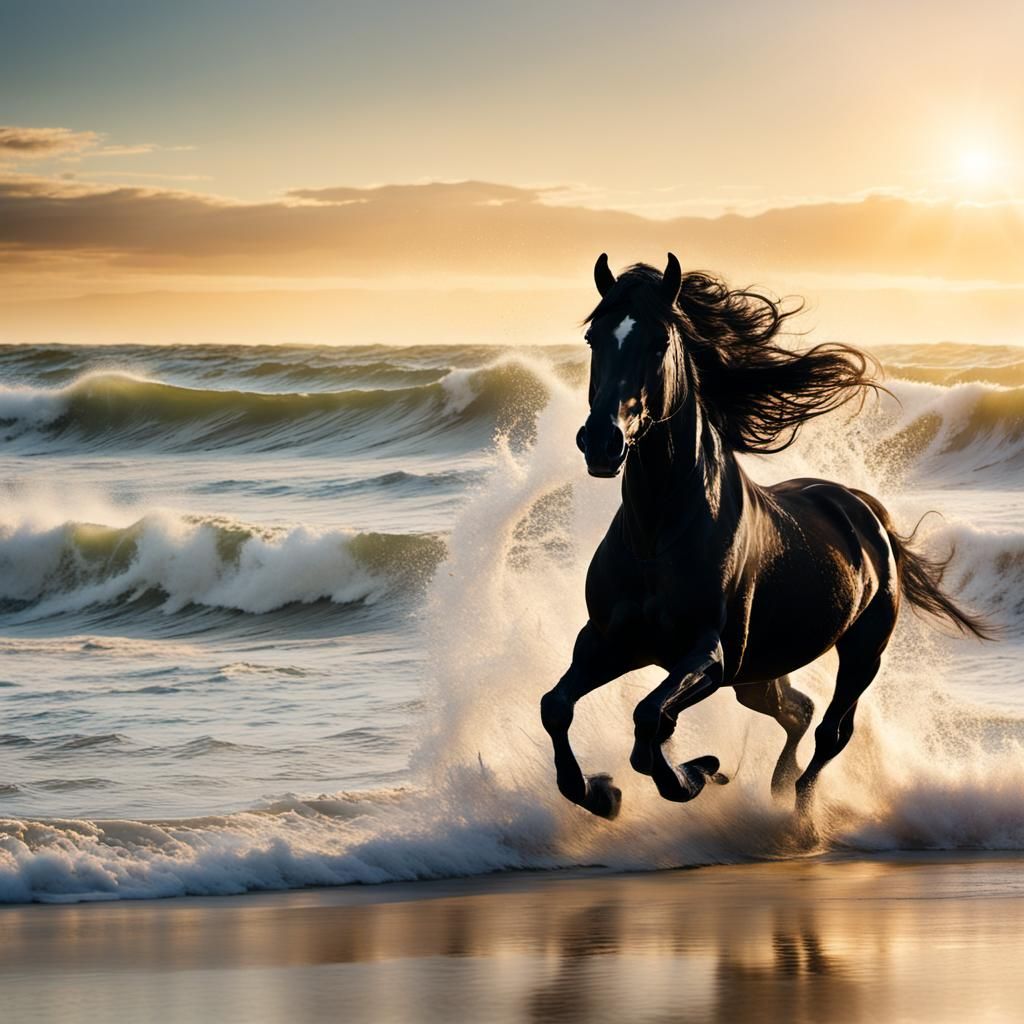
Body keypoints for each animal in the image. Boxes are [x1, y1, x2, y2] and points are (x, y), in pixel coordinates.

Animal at [540, 253, 990, 821]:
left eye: (659, 342)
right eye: (594, 338)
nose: (602, 441)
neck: (657, 536)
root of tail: (865, 512)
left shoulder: (710, 657)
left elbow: (650, 719)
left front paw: (694, 773)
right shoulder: (609, 641)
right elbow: (556, 707)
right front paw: (603, 794)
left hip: (859, 654)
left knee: (830, 731)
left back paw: (799, 817)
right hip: (759, 674)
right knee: (798, 711)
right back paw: (776, 783)